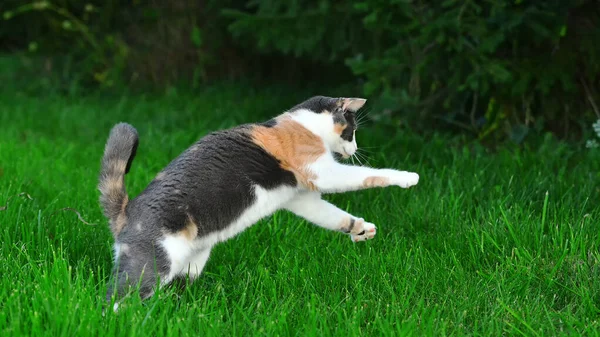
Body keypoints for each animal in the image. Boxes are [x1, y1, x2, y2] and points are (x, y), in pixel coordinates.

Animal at [98, 95, 420, 308]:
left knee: (175, 288)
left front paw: (359, 228)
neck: (304, 125)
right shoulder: (322, 171)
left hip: (191, 264)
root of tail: (127, 210)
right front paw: (407, 176)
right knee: (117, 300)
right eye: (352, 131)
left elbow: (330, 214)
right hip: (154, 262)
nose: (354, 149)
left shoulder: (300, 197)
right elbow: (368, 175)